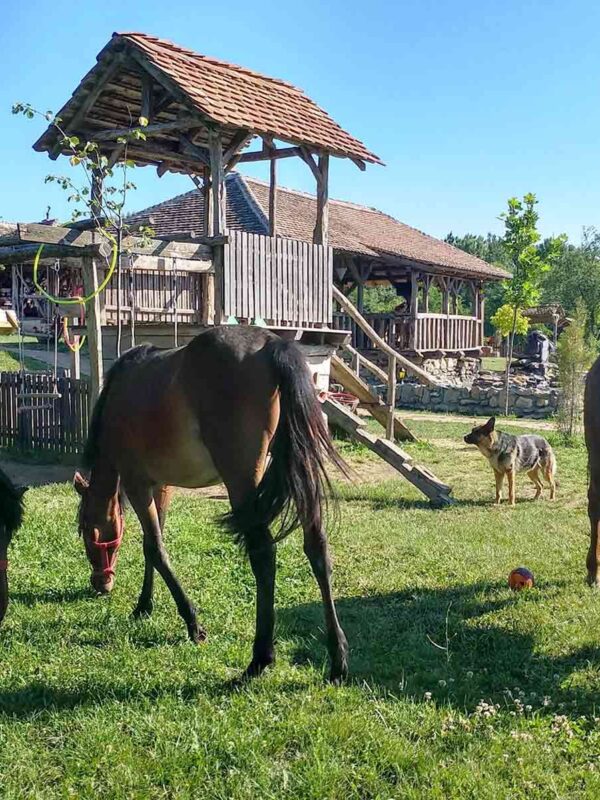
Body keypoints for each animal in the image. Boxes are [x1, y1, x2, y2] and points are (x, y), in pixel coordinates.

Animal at [74, 326, 352, 680]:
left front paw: (192, 623)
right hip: (300, 473)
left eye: (87, 530)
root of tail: (273, 345)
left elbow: (155, 549)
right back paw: (337, 658)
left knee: (263, 554)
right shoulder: (161, 487)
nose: (100, 583)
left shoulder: (138, 485)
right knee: (316, 547)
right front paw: (144, 606)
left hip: (241, 480)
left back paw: (260, 659)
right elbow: (152, 545)